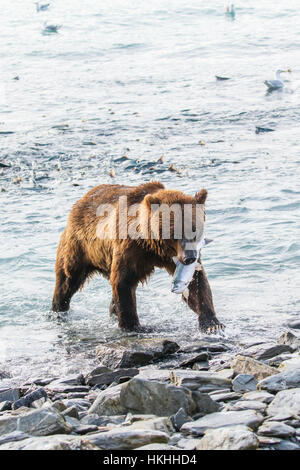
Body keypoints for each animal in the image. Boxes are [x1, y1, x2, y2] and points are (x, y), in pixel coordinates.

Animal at [51, 182, 223, 332]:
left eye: (194, 228)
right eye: (174, 232)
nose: (190, 258)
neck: (152, 245)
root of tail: (80, 201)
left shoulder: (173, 256)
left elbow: (197, 283)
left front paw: (212, 323)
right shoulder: (130, 248)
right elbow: (123, 281)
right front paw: (133, 326)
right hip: (78, 247)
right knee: (67, 280)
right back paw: (58, 310)